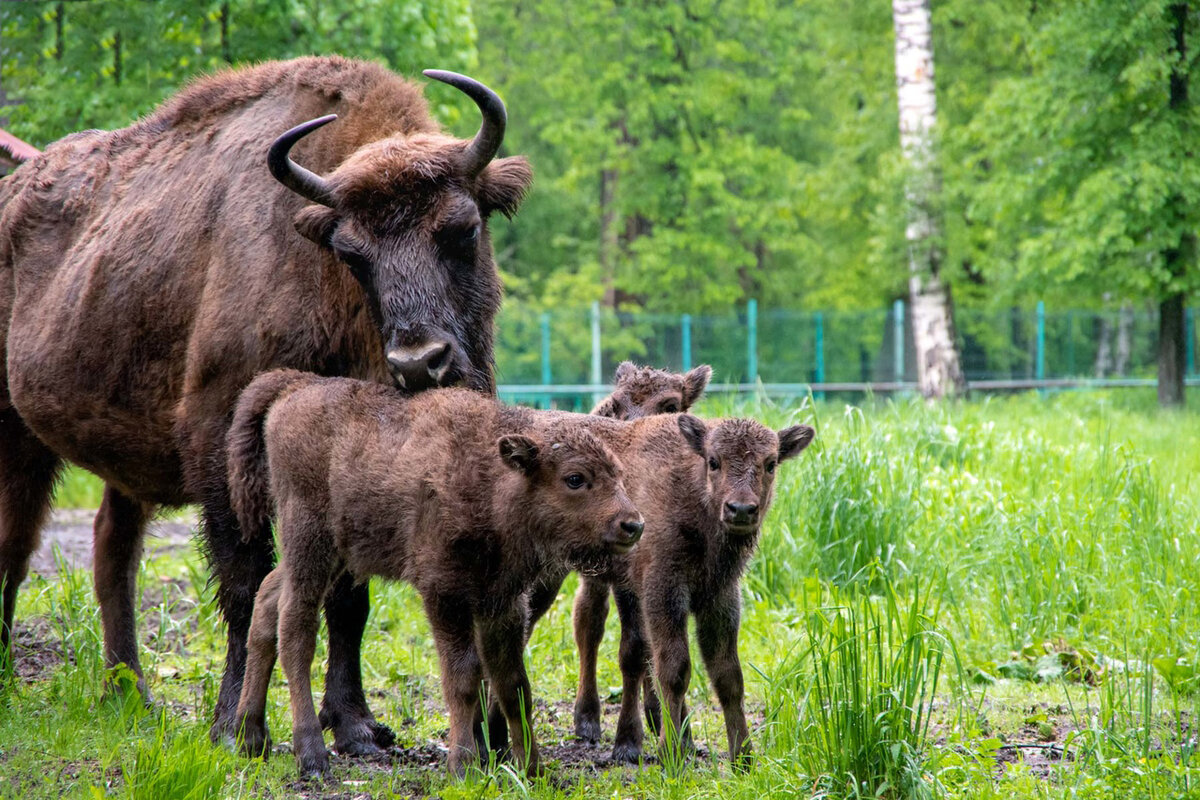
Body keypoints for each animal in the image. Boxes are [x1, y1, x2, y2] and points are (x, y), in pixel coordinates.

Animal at [0, 56, 530, 753]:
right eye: (351, 253)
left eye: (463, 229)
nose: (421, 363)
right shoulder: (222, 450)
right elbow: (246, 584)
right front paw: (231, 725)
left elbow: (349, 598)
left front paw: (356, 725)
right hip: (14, 433)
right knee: (16, 546)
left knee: (112, 549)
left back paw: (131, 694)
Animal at [229, 371, 652, 777]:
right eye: (575, 478)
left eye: (618, 473)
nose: (633, 525)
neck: (491, 478)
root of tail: (297, 387)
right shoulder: (445, 594)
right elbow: (464, 678)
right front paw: (463, 765)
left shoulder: (503, 603)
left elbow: (514, 684)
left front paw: (534, 770)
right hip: (308, 544)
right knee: (295, 631)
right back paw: (311, 756)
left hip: (334, 556)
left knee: (266, 603)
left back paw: (251, 737)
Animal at [573, 412, 816, 762]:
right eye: (713, 461)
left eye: (770, 463)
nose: (741, 509)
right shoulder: (663, 590)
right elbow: (675, 670)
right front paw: (668, 753)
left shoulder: (720, 597)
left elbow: (727, 675)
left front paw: (743, 757)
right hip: (600, 578)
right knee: (590, 628)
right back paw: (596, 725)